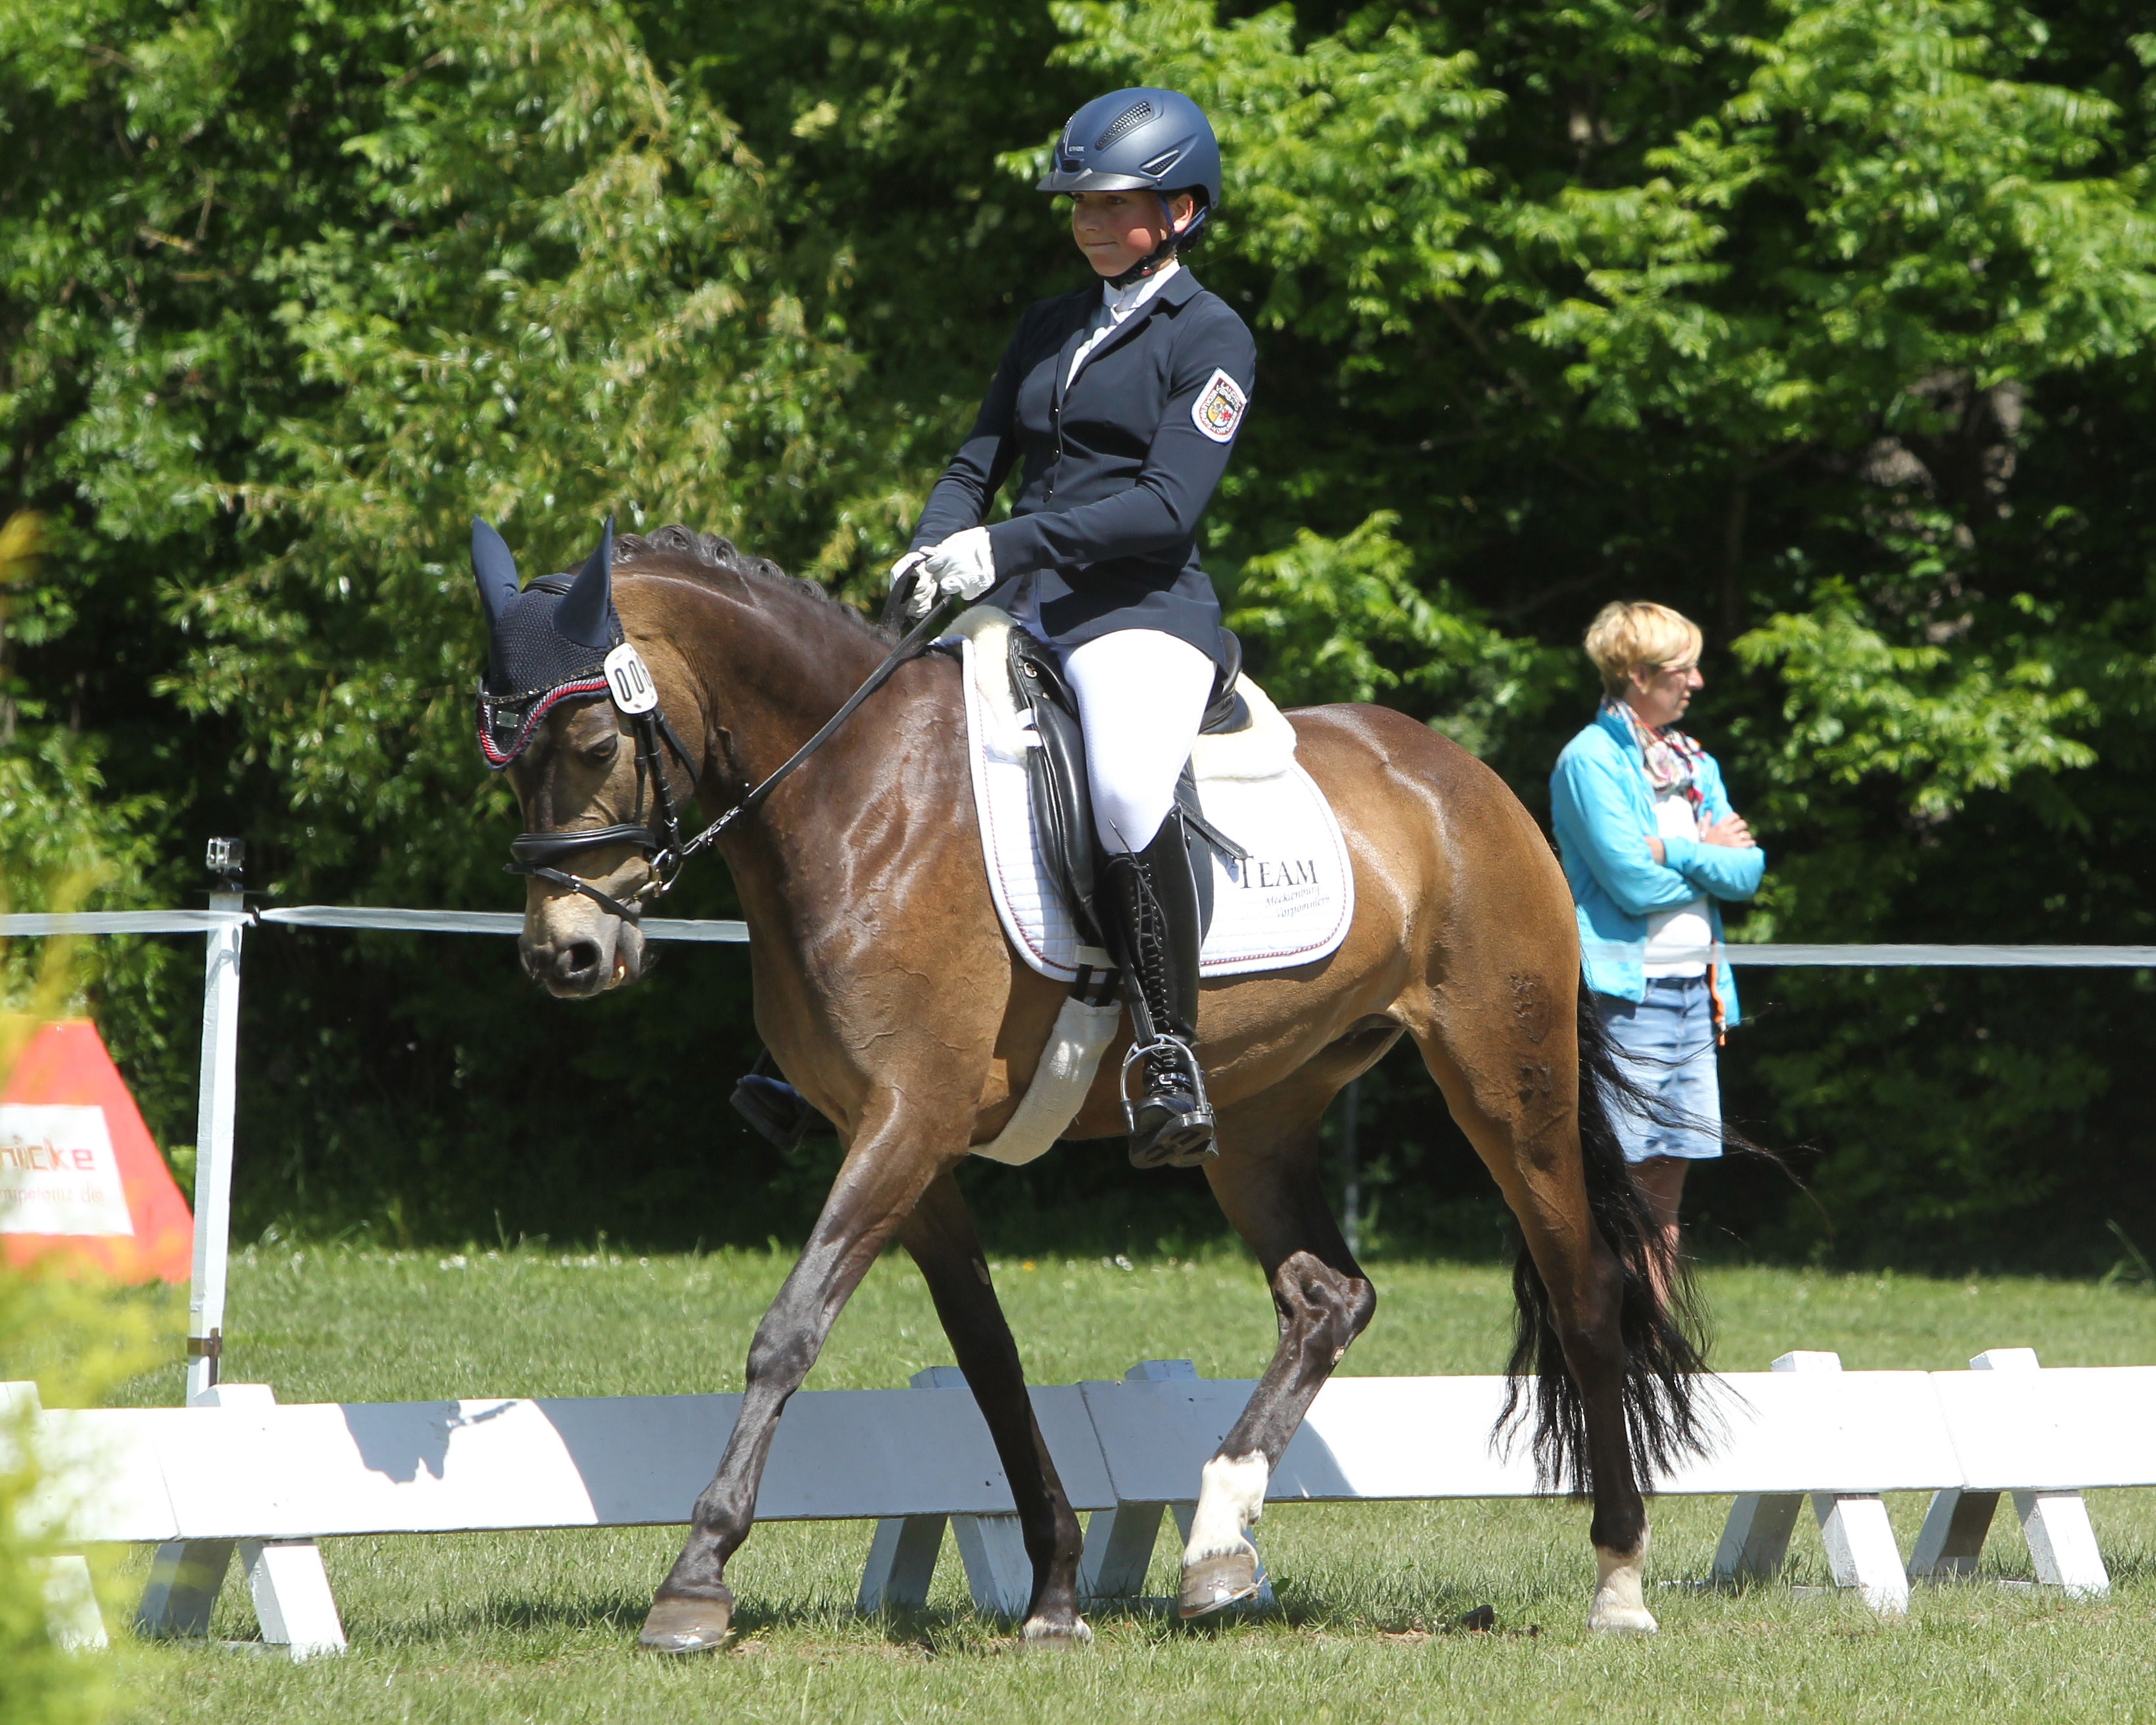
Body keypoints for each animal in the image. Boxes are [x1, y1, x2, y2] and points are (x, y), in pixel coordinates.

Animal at [482, 522, 1709, 1652]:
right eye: (505, 757)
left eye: (593, 738)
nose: (564, 955)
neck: (858, 797)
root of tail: (1466, 777)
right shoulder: (907, 1144)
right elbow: (989, 1358)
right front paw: (1058, 1589)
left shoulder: (907, 1120)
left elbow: (789, 1330)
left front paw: (695, 1580)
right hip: (1254, 1117)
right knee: (1329, 1296)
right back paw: (1216, 1543)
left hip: (1507, 1081)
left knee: (1586, 1294)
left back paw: (1619, 1579)